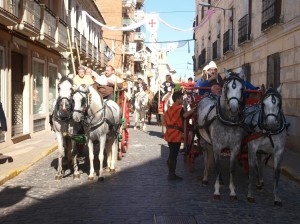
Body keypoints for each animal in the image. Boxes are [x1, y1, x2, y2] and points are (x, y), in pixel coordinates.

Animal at [197, 68, 246, 200]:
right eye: (226, 87)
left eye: (241, 89)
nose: (234, 108)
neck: (228, 121)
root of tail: (208, 96)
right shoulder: (217, 146)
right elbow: (218, 167)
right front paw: (217, 190)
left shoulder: (235, 147)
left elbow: (232, 169)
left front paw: (232, 191)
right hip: (203, 140)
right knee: (205, 157)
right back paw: (205, 178)